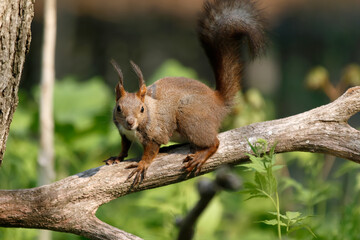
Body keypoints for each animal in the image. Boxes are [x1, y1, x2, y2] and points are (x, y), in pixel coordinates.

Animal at [105, 0, 266, 186]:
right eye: (118, 108)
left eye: (142, 109)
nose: (130, 122)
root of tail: (218, 102)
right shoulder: (123, 133)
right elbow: (124, 147)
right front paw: (117, 157)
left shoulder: (156, 133)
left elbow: (151, 151)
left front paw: (142, 165)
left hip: (189, 115)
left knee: (215, 142)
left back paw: (200, 156)